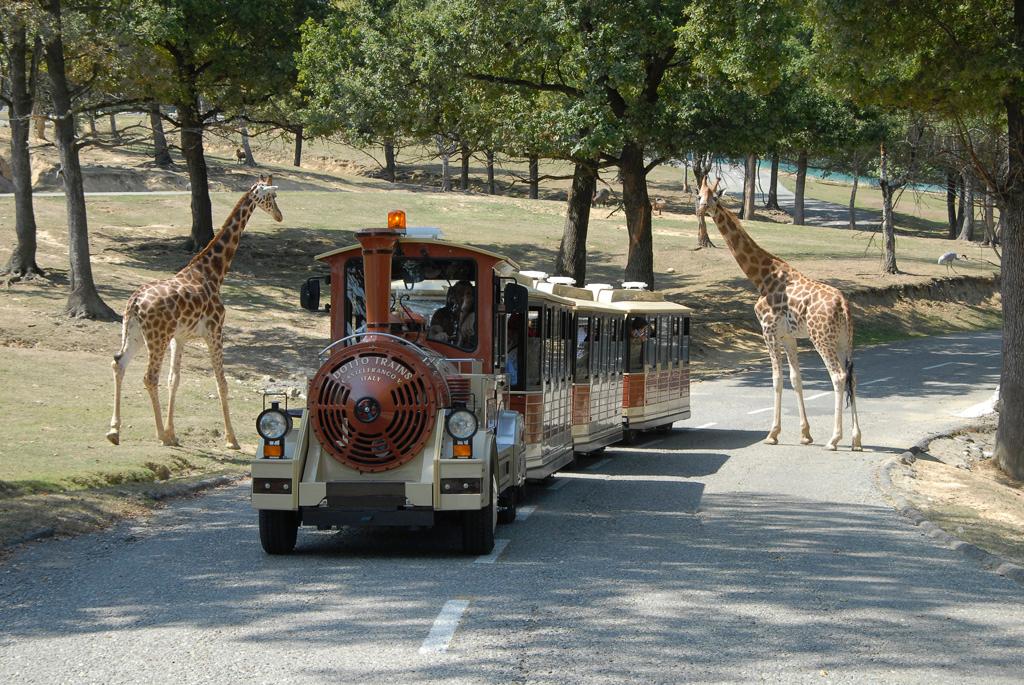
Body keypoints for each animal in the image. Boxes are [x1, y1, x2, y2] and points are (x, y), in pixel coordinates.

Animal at [106, 174, 282, 446]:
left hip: (135, 333)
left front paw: (173, 432)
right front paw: (231, 438)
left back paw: (115, 431)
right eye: (271, 196)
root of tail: (134, 302)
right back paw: (158, 435)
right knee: (149, 376)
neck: (213, 273)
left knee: (119, 364)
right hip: (157, 337)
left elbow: (174, 380)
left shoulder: (179, 338)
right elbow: (222, 382)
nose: (279, 216)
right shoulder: (215, 331)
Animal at [692, 176, 860, 448]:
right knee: (852, 377)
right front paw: (805, 434)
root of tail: (844, 305)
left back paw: (834, 439)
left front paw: (772, 433)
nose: (702, 208)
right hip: (846, 340)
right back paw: (857, 439)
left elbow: (777, 380)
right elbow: (795, 379)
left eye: (715, 196)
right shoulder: (788, 336)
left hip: (822, 338)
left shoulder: (768, 331)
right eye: (699, 195)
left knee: (838, 376)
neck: (761, 278)